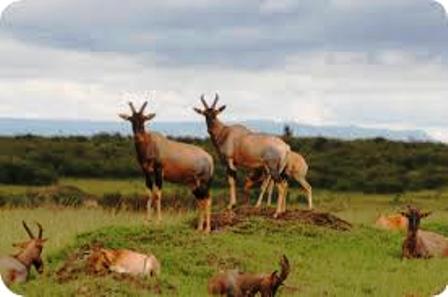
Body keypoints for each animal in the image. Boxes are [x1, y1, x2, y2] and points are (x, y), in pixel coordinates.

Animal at [119, 100, 214, 232]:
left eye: (144, 119)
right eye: (131, 119)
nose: (138, 137)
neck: (151, 142)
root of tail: (209, 158)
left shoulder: (159, 171)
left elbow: (158, 194)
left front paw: (158, 222)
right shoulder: (146, 172)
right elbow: (149, 193)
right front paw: (147, 222)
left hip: (204, 181)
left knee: (208, 199)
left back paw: (207, 229)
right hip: (193, 184)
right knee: (201, 200)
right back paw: (199, 228)